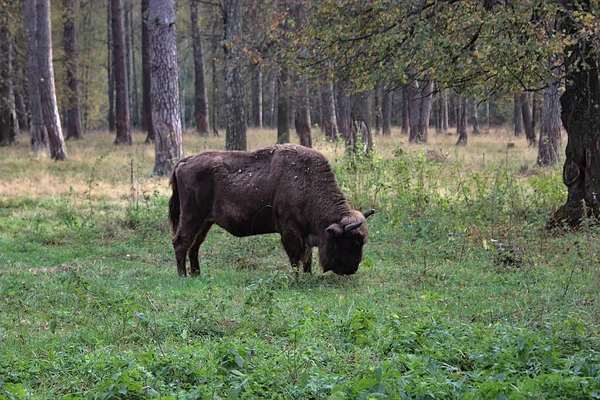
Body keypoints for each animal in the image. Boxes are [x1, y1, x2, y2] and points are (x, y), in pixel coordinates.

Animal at [169, 145, 372, 278]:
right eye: (350, 244)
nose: (352, 269)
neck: (308, 183)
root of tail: (185, 161)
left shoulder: (305, 234)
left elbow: (307, 257)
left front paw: (308, 275)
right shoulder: (290, 230)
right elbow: (296, 255)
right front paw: (295, 278)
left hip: (205, 222)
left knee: (194, 246)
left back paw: (197, 274)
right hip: (191, 217)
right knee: (181, 242)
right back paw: (183, 275)